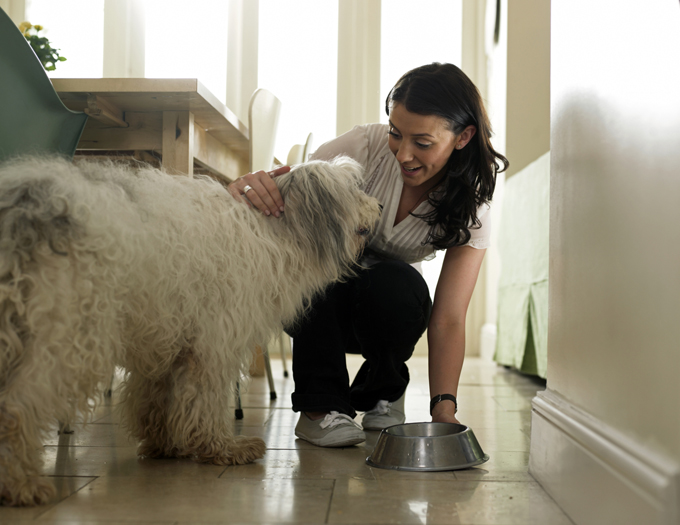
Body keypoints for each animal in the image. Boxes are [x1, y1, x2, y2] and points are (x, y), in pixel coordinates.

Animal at [0, 155, 382, 504]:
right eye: (353, 189)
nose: (379, 206)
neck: (273, 230)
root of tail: (24, 201)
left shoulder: (168, 335)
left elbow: (155, 396)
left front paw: (165, 445)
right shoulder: (214, 339)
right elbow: (207, 398)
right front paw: (223, 447)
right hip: (68, 332)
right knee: (16, 405)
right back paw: (22, 483)